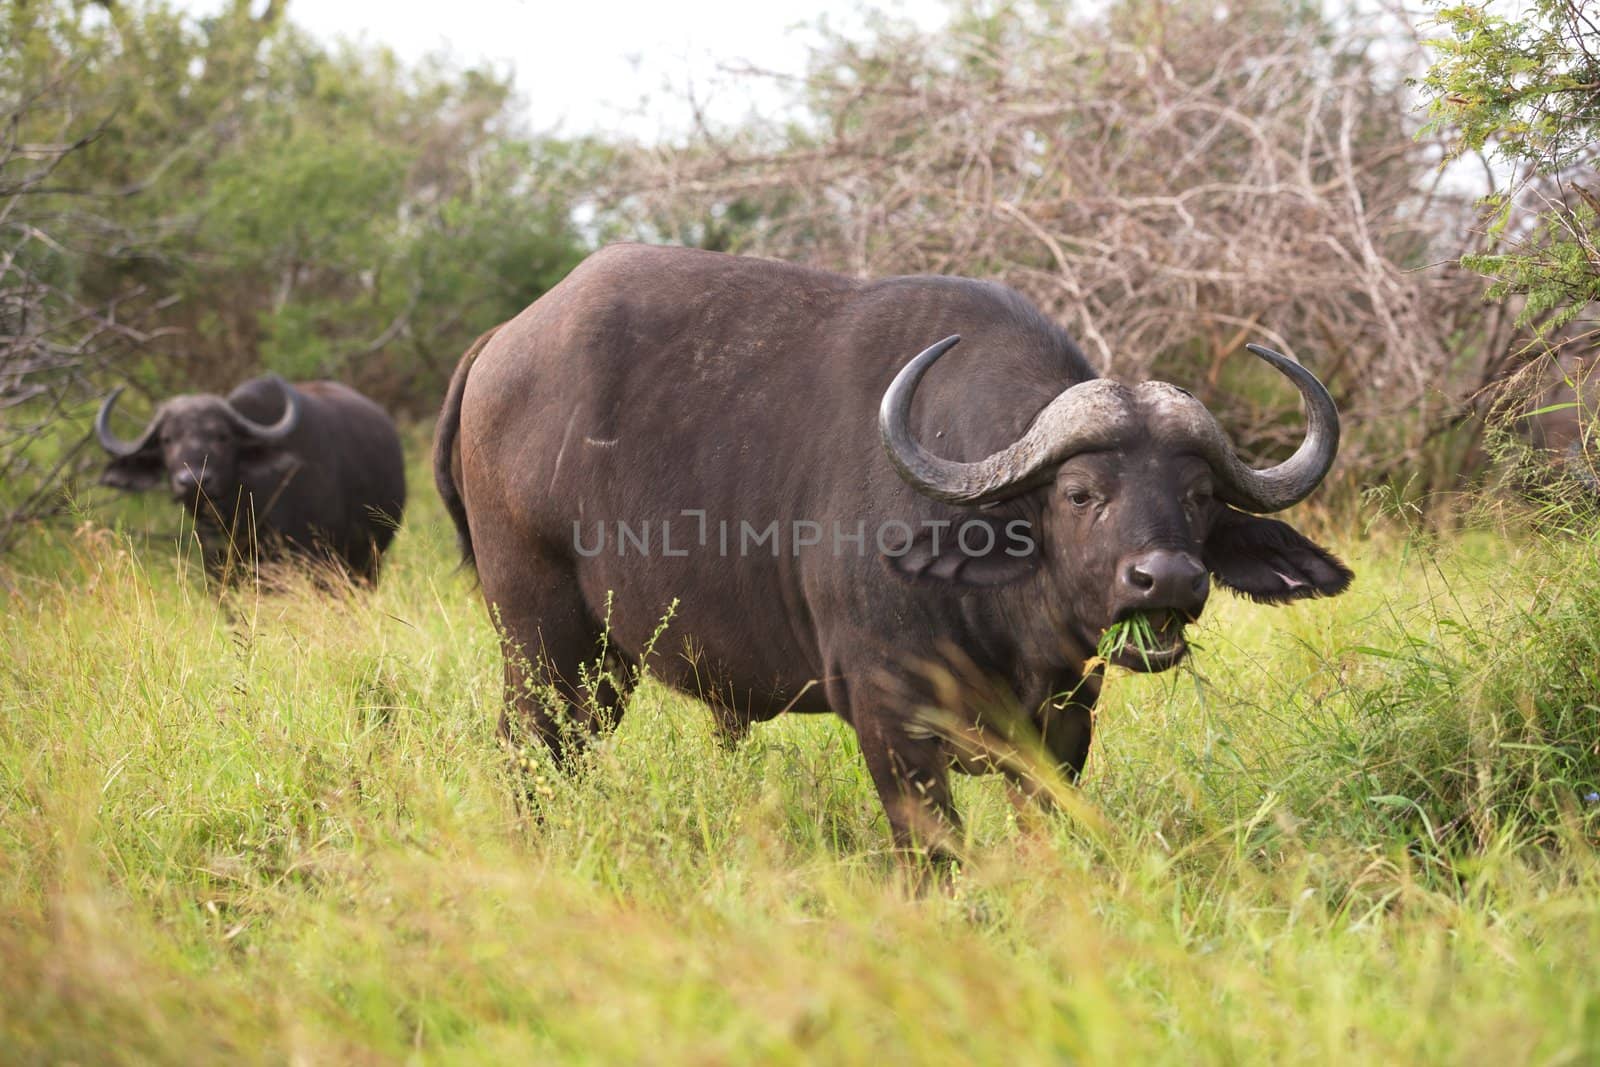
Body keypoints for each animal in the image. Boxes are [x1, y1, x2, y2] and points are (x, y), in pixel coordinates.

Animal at [96, 375, 406, 585]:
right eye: (166, 439)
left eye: (222, 436)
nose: (193, 480)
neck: (246, 511)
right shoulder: (219, 570)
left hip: (368, 561)